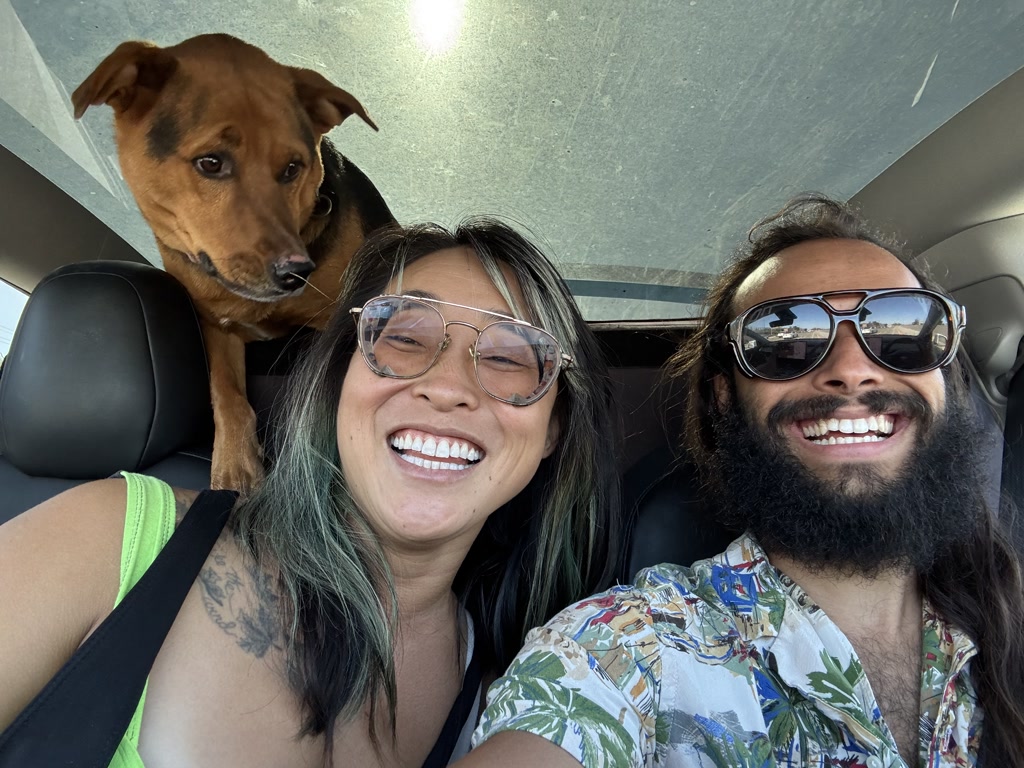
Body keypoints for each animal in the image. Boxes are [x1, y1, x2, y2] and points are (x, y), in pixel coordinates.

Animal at [74, 34, 393, 493]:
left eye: (293, 168)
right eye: (211, 162)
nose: (297, 273)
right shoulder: (215, 325)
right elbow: (226, 394)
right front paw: (236, 464)